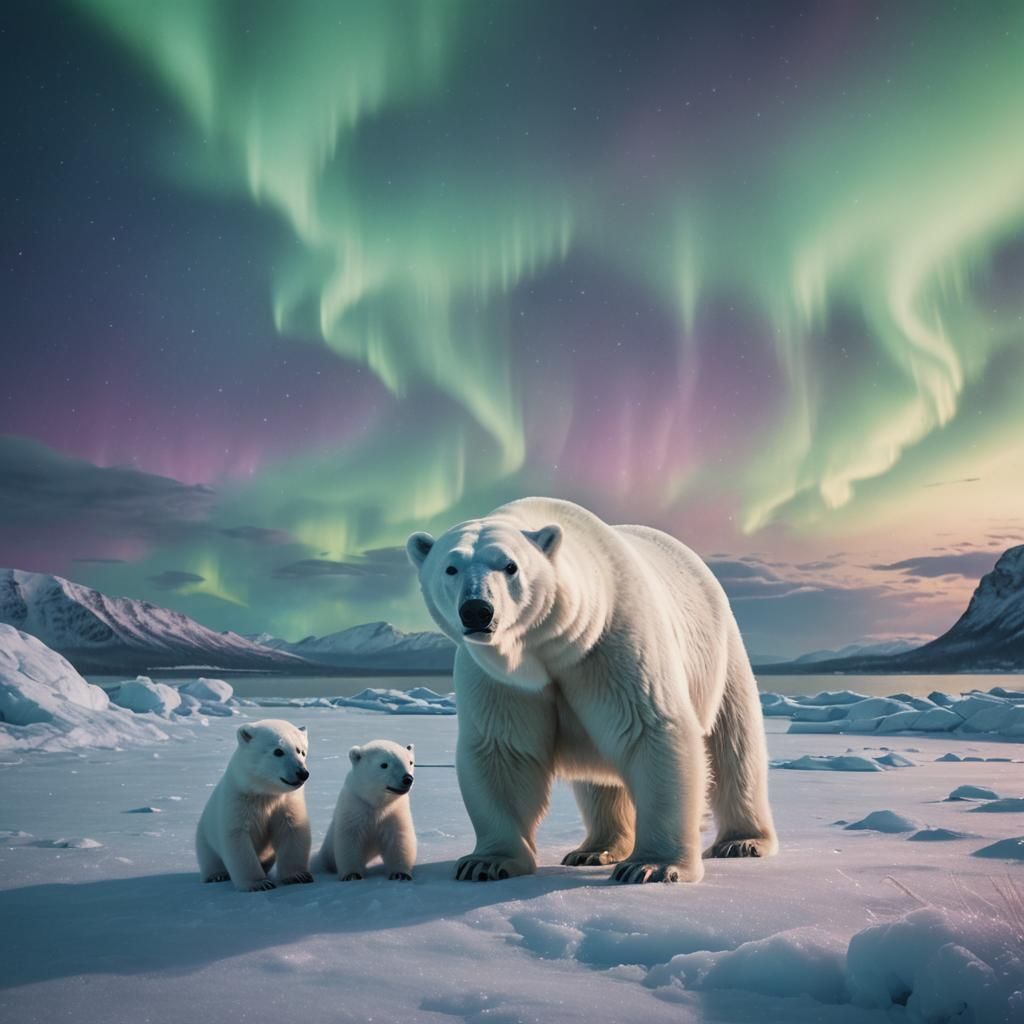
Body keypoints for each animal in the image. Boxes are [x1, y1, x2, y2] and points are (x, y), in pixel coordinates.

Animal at [195, 718, 313, 892]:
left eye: (301, 751)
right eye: (278, 751)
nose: (302, 773)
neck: (264, 792)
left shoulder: (286, 802)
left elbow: (292, 831)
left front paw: (298, 876)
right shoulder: (239, 801)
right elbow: (238, 839)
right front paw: (259, 883)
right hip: (205, 838)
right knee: (210, 859)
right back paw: (216, 875)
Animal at [315, 739, 417, 881]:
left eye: (410, 762)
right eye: (384, 765)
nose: (407, 779)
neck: (376, 804)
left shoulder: (394, 810)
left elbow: (398, 838)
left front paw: (400, 874)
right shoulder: (355, 807)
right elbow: (350, 839)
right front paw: (352, 875)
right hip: (326, 854)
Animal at [406, 496, 778, 884]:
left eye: (510, 566)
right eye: (451, 567)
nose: (477, 610)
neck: (552, 645)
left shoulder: (612, 643)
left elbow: (649, 730)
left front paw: (652, 867)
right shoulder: (499, 677)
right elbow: (503, 750)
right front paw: (486, 862)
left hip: (721, 655)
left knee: (734, 748)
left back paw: (742, 841)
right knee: (601, 780)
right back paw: (593, 850)